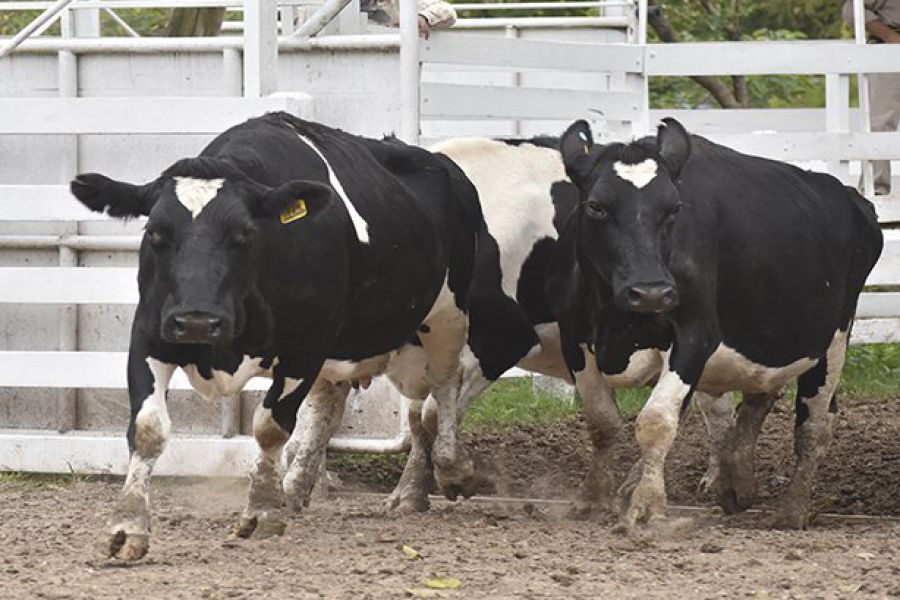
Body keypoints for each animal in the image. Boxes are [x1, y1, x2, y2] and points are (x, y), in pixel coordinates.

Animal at [70, 111, 486, 556]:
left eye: (244, 234)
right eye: (156, 234)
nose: (198, 321)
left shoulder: (305, 347)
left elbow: (271, 426)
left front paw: (262, 511)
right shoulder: (151, 335)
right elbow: (148, 428)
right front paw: (128, 525)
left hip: (447, 317)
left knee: (441, 390)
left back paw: (443, 472)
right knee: (332, 407)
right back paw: (299, 486)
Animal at [544, 117, 884, 528]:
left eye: (674, 208)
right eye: (596, 207)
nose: (652, 292)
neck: (615, 315)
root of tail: (852, 197)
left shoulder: (694, 336)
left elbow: (656, 420)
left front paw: (647, 507)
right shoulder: (574, 337)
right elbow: (602, 421)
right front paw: (593, 498)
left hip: (834, 339)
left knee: (814, 426)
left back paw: (790, 511)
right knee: (752, 401)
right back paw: (735, 478)